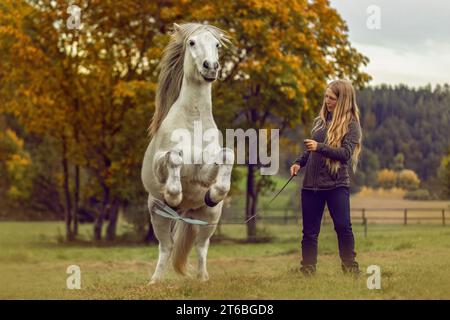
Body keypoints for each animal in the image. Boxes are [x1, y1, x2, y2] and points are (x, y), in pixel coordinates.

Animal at [141, 22, 234, 284]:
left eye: (217, 44)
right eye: (192, 42)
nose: (211, 67)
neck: (193, 121)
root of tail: (188, 209)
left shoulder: (203, 171)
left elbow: (227, 155)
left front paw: (215, 192)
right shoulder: (162, 163)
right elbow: (174, 158)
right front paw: (173, 195)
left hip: (209, 218)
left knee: (202, 246)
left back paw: (203, 279)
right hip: (157, 216)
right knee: (166, 247)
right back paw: (154, 282)